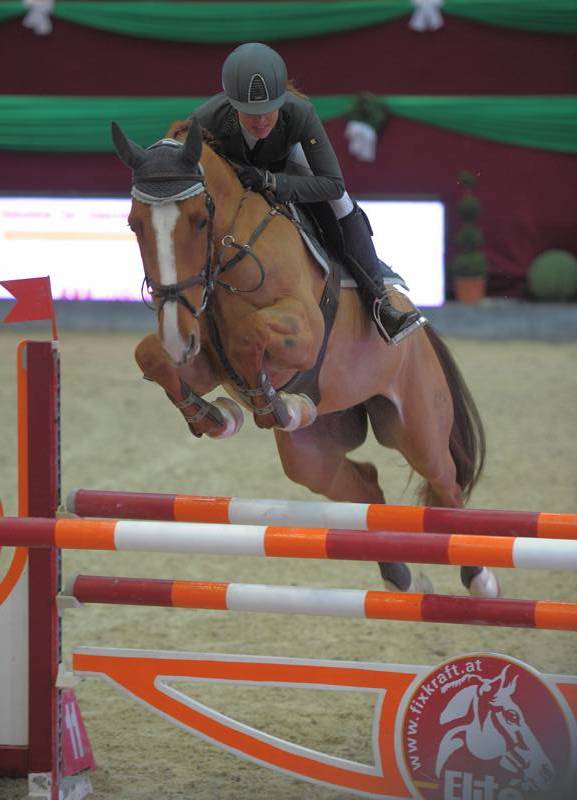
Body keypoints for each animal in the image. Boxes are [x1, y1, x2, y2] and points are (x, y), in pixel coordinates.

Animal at [111, 119, 496, 592]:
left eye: (200, 220)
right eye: (134, 224)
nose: (177, 337)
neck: (229, 252)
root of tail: (419, 328)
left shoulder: (303, 333)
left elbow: (250, 337)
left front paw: (268, 405)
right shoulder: (203, 360)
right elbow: (150, 355)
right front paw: (217, 417)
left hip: (417, 428)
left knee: (445, 487)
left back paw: (480, 578)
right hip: (312, 456)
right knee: (366, 486)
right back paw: (400, 578)